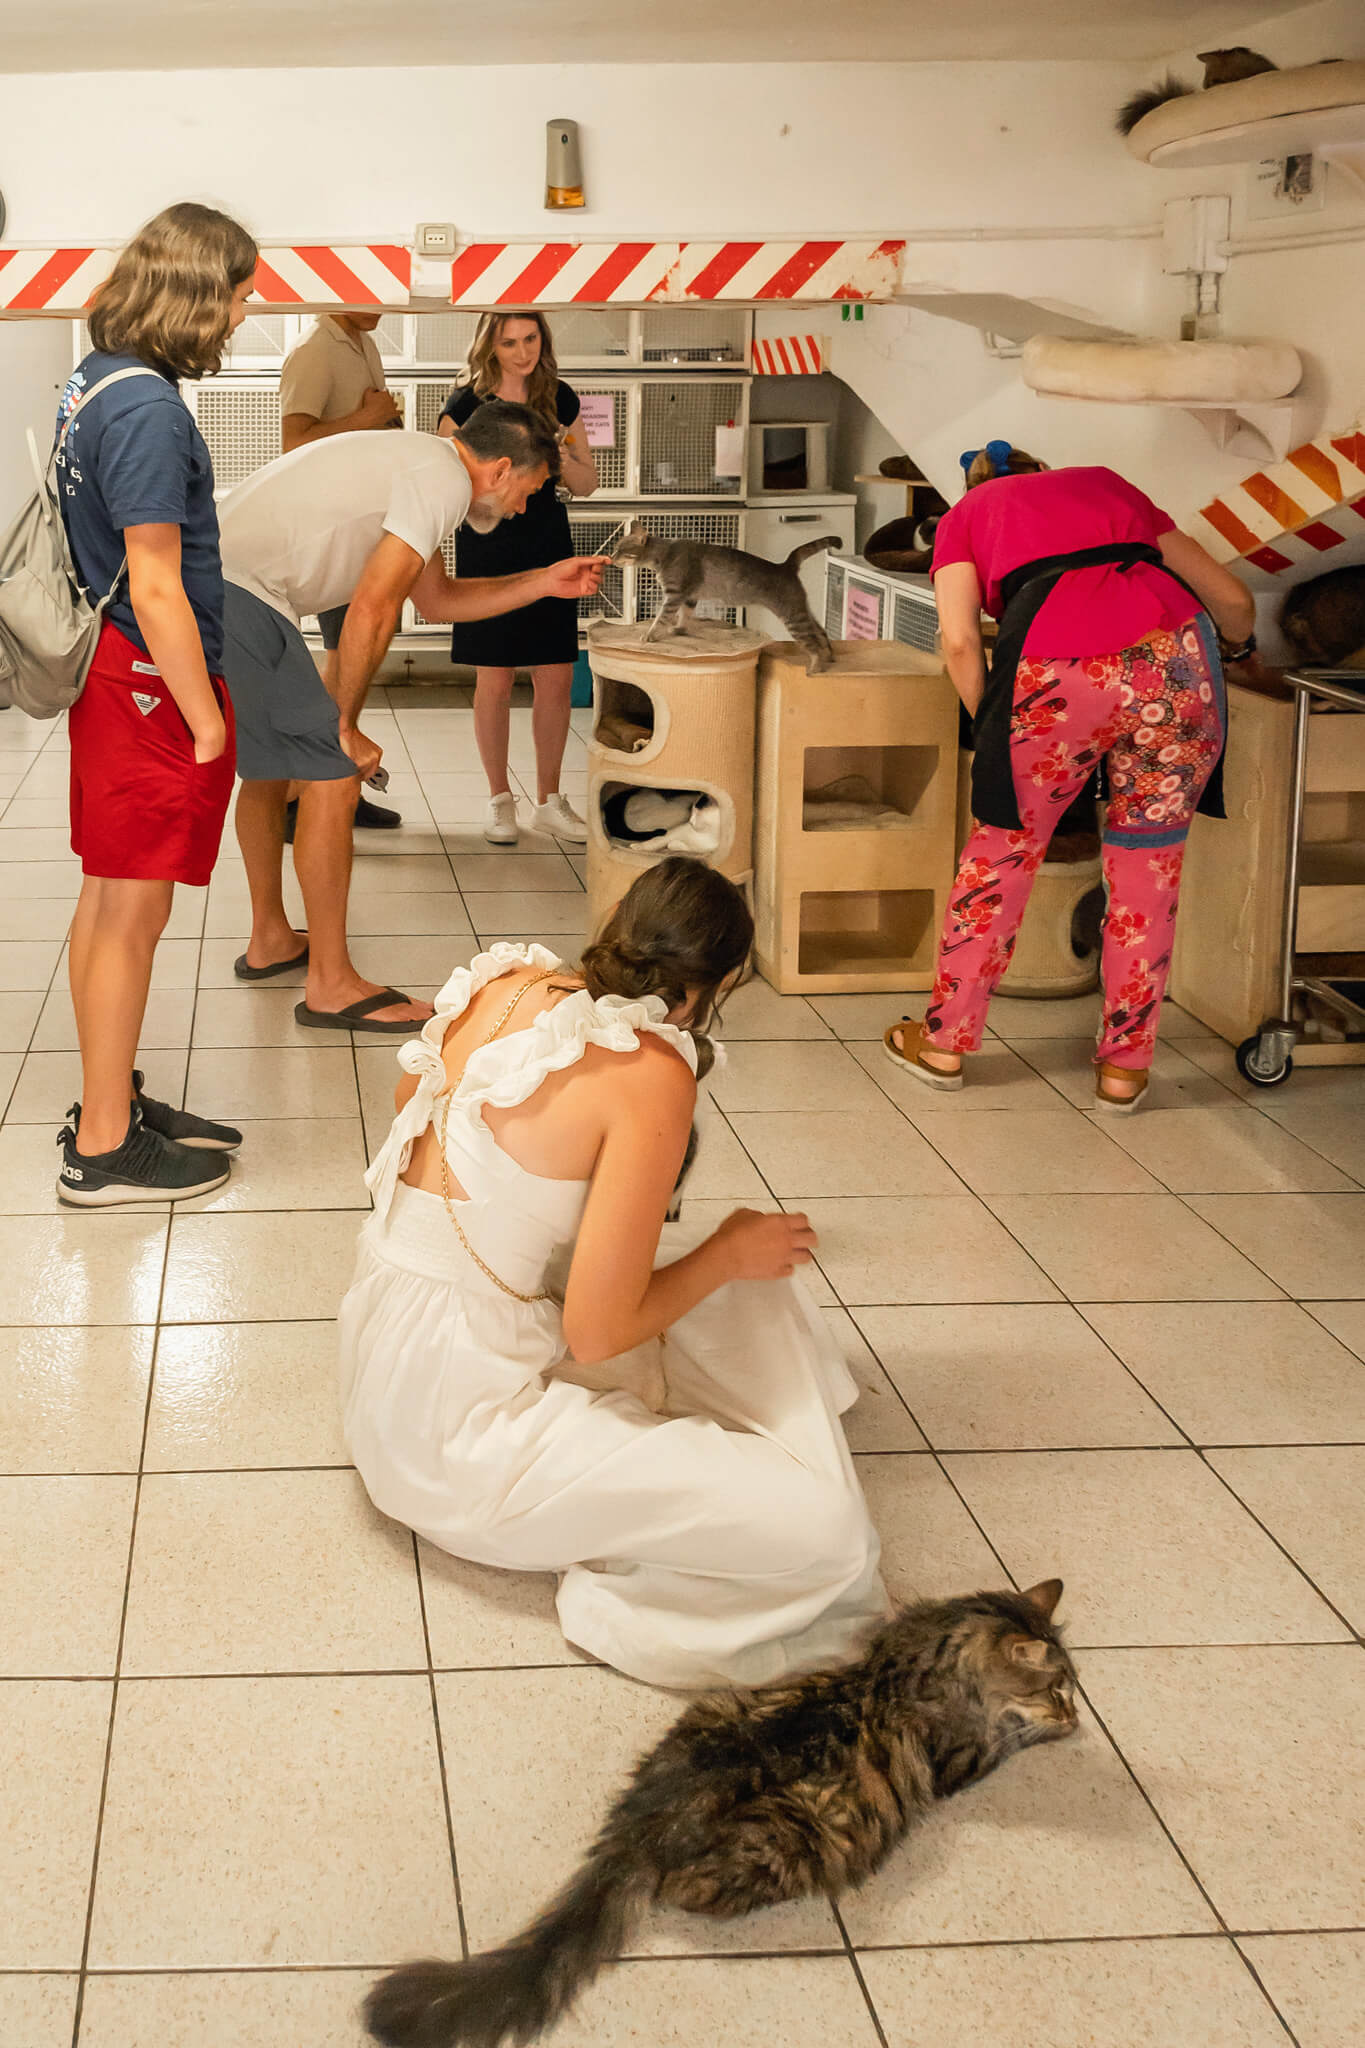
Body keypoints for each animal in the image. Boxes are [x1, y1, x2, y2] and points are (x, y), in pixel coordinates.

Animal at [362, 1572, 1080, 2039]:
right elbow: (1002, 1742)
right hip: (787, 1843)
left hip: (709, 1706)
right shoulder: (960, 1758)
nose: (1075, 1715)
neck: (917, 1657)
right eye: (1058, 1690)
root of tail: (644, 1830)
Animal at [609, 520, 843, 671]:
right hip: (803, 610)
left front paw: (650, 635)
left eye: (620, 549)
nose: (610, 557)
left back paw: (814, 668)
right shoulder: (689, 597)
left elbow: (661, 618)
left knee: (812, 642)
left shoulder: (674, 595)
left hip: (793, 617)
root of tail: (786, 565)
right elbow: (685, 616)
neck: (665, 553)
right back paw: (830, 658)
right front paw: (679, 629)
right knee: (822, 633)